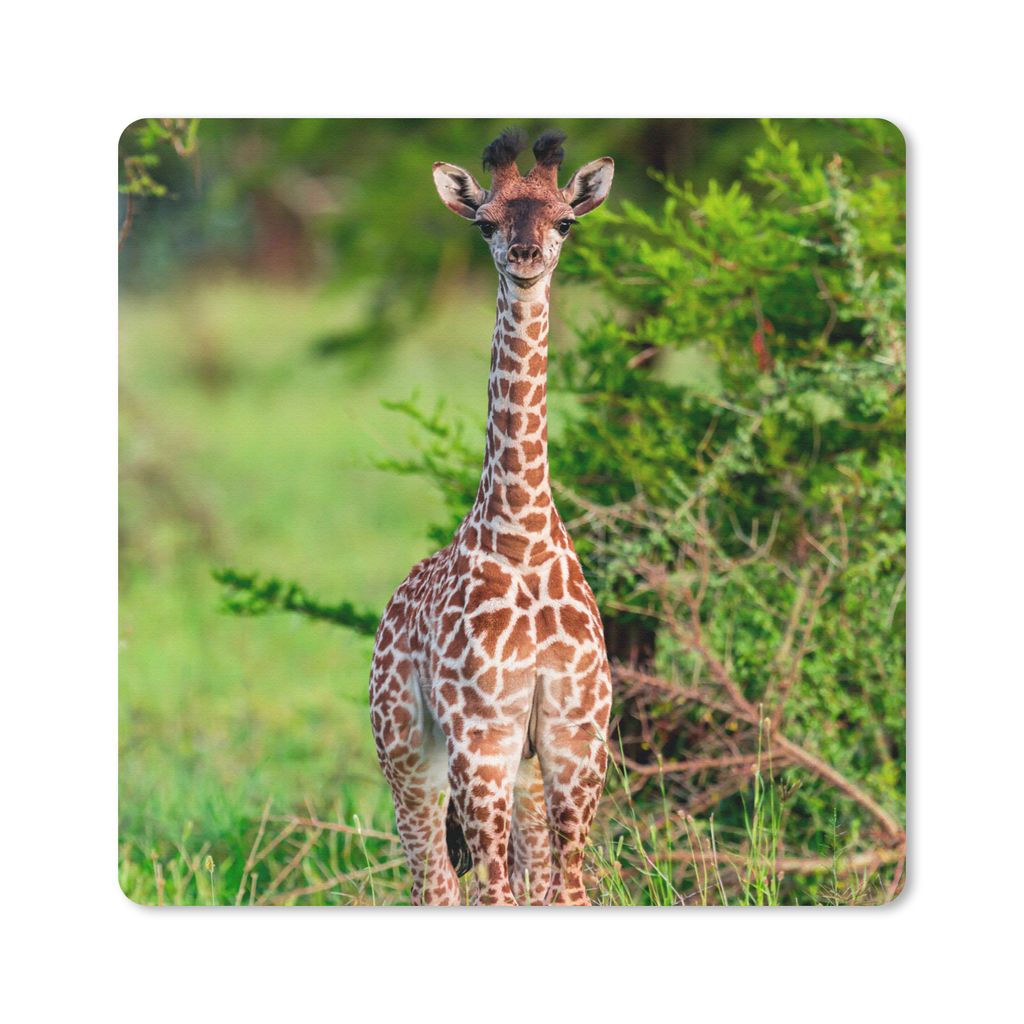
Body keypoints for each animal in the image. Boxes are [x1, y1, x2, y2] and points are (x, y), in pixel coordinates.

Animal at [369, 129, 615, 906]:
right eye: (485, 223)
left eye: (566, 220)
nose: (526, 258)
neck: (523, 533)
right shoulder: (482, 740)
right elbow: (490, 892)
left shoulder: (573, 743)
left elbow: (568, 892)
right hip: (407, 754)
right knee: (436, 882)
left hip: (524, 776)